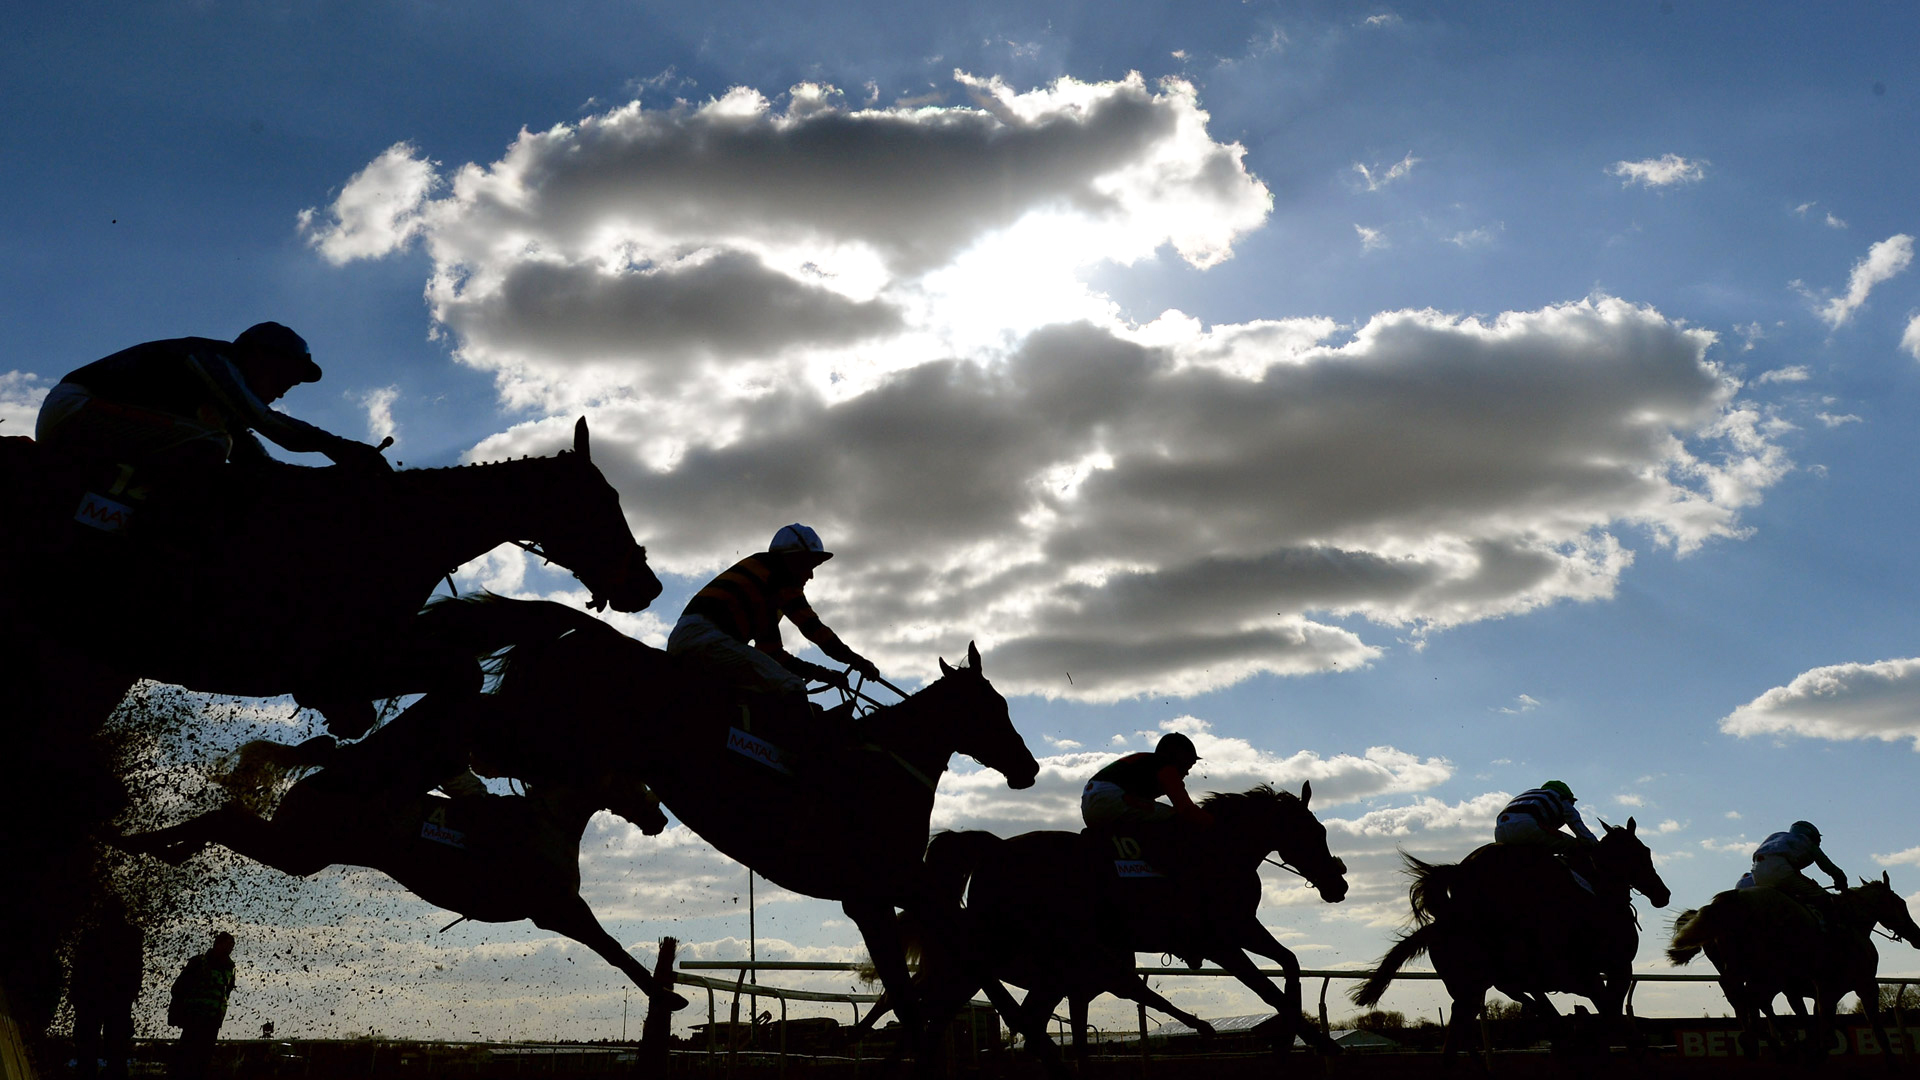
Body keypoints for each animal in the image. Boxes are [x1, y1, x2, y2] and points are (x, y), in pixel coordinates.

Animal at [108, 734, 687, 1006]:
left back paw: (163, 849)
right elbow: (611, 948)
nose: (659, 816)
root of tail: (334, 768)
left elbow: (610, 947)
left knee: (228, 820)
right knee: (225, 818)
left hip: (299, 849)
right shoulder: (557, 908)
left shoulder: (557, 909)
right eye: (636, 776)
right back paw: (136, 840)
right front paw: (668, 995)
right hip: (300, 848)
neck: (549, 821)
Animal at [898, 776, 1351, 1053]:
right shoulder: (1220, 941)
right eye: (1314, 832)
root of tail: (993, 847)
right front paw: (1314, 1040)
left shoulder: (1241, 928)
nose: (1339, 884)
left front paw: (1294, 1036)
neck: (1217, 849)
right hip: (1005, 945)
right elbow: (1267, 989)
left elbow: (1289, 964)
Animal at [1351, 818, 1666, 1060]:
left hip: (1469, 987)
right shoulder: (1612, 968)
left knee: (1458, 1033)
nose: (1663, 893)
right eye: (1643, 851)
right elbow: (1610, 1016)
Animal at [1666, 864, 1920, 1060]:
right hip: (1768, 969)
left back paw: (1761, 1040)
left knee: (1739, 993)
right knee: (1750, 997)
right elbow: (1875, 1033)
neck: (1852, 923)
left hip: (1747, 968)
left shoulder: (1813, 990)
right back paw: (1770, 1040)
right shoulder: (1862, 985)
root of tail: (1729, 900)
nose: (1916, 934)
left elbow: (1815, 1023)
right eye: (1901, 903)